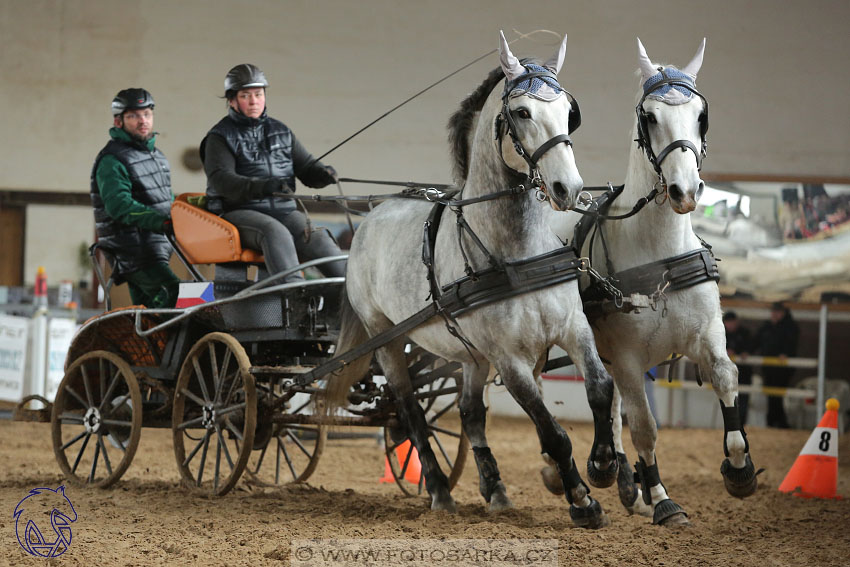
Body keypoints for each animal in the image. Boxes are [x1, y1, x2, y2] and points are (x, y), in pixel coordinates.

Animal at [328, 31, 612, 528]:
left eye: (569, 111)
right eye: (522, 112)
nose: (570, 189)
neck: (515, 251)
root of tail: (369, 219)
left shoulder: (572, 329)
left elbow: (599, 387)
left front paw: (603, 464)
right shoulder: (509, 359)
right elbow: (552, 432)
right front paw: (582, 500)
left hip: (470, 355)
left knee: (469, 412)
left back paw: (494, 488)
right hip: (387, 339)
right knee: (410, 411)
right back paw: (440, 489)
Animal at [544, 38, 756, 528]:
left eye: (700, 114)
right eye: (651, 117)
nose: (684, 191)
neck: (659, 253)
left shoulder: (707, 333)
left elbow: (725, 375)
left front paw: (739, 469)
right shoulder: (626, 355)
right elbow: (644, 426)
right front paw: (661, 497)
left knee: (610, 403)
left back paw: (617, 474)